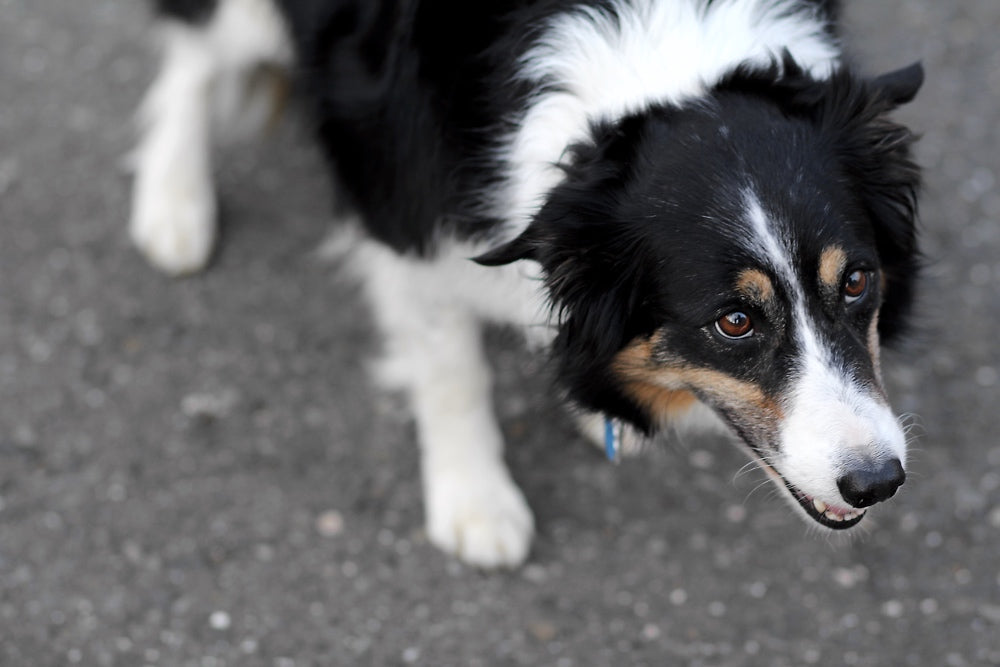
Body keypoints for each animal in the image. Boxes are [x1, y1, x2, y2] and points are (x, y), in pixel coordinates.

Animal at [131, 1, 920, 568]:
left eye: (857, 280)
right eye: (734, 321)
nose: (878, 481)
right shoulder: (406, 219)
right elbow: (450, 370)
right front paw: (474, 500)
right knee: (193, 57)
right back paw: (172, 202)